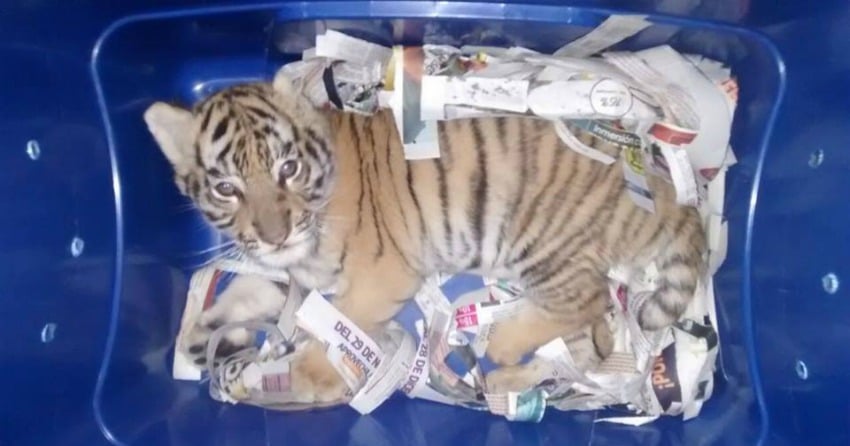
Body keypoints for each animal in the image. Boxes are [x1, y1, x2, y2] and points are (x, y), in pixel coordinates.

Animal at [143, 68, 706, 404]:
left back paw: (503, 345)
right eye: (226, 188)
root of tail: (664, 188)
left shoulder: (379, 273)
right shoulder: (295, 274)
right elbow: (243, 294)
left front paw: (301, 376)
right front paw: (201, 339)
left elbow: (340, 328)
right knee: (591, 347)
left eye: (288, 168)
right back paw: (507, 382)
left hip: (542, 242)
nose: (275, 235)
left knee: (585, 301)